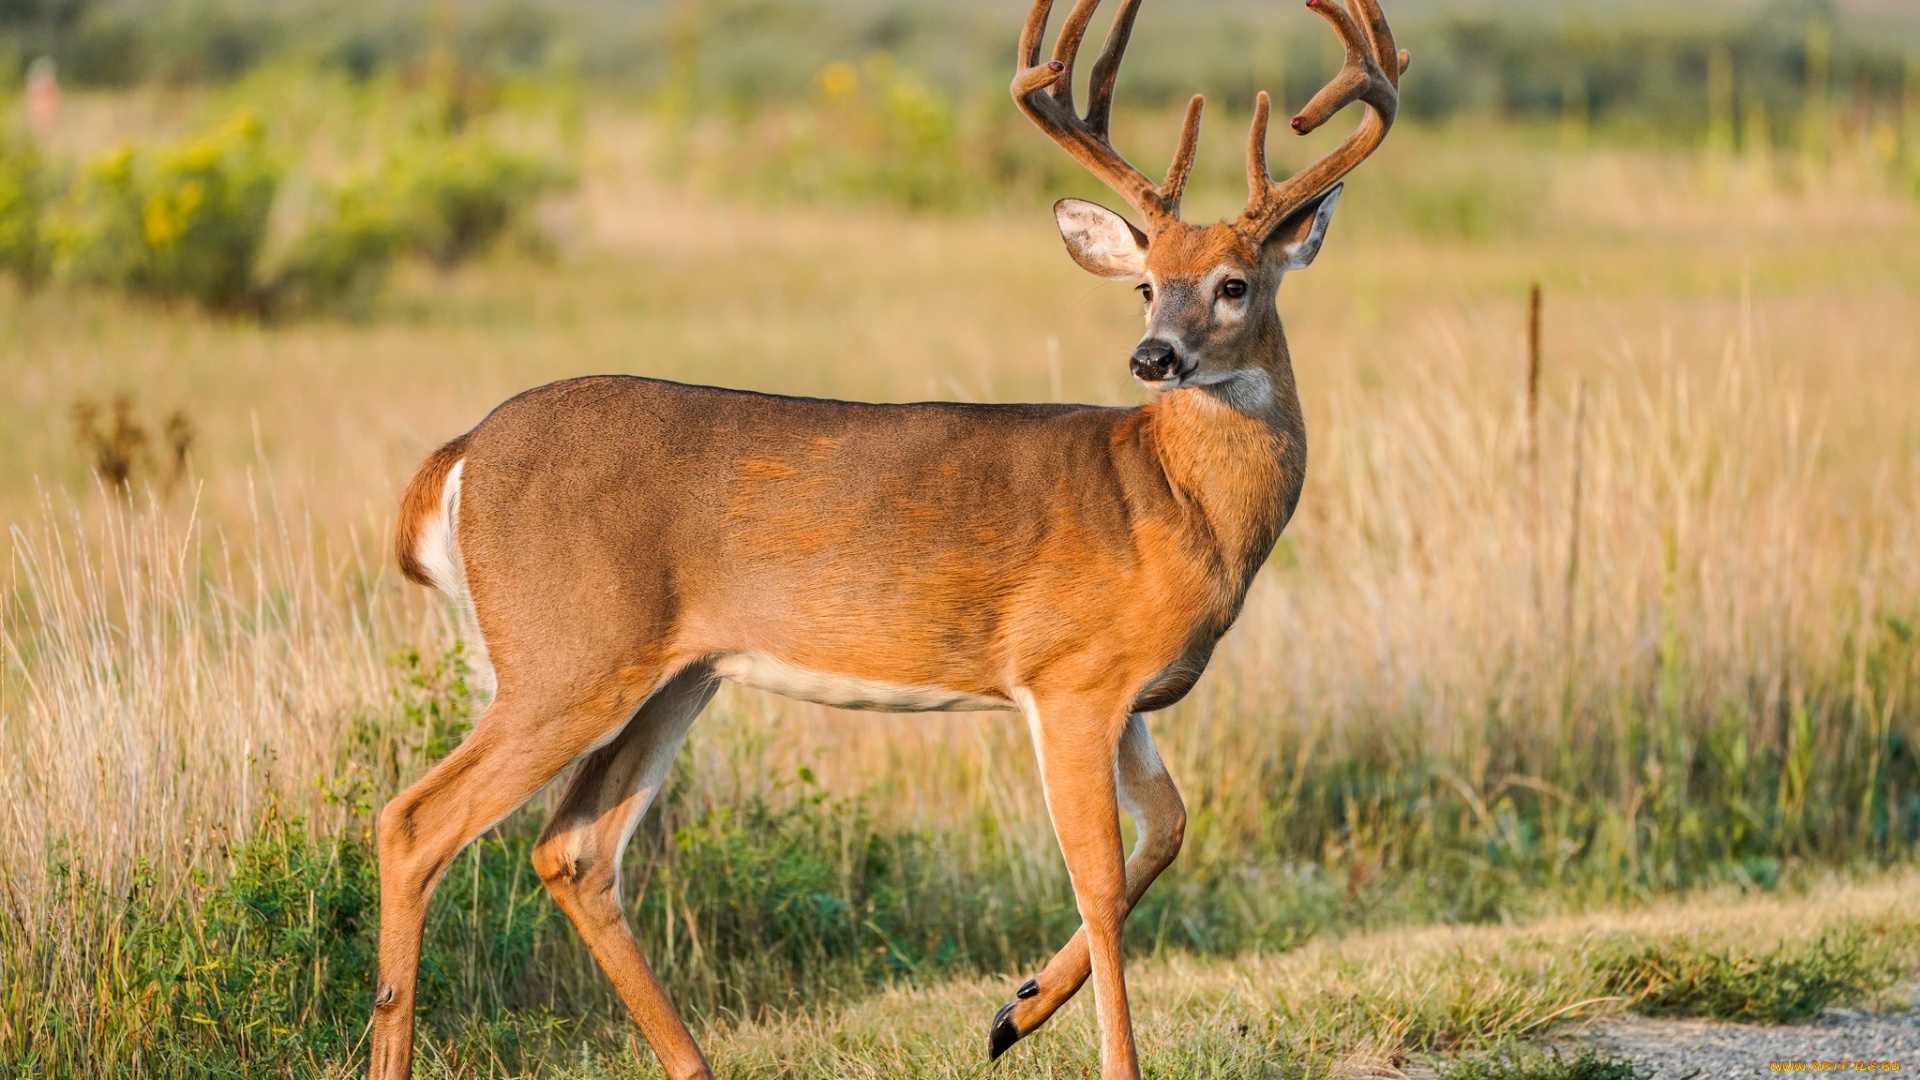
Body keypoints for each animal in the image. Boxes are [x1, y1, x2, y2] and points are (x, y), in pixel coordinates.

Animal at [366, 2, 1405, 1076]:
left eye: (1235, 283)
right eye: (1147, 286)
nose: (1153, 356)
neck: (1173, 499)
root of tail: (460, 455)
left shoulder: (1125, 692)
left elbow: (1168, 829)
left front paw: (1014, 1010)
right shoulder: (1068, 674)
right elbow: (1102, 882)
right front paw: (1091, 1047)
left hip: (674, 675)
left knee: (573, 848)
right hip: (563, 654)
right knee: (414, 822)